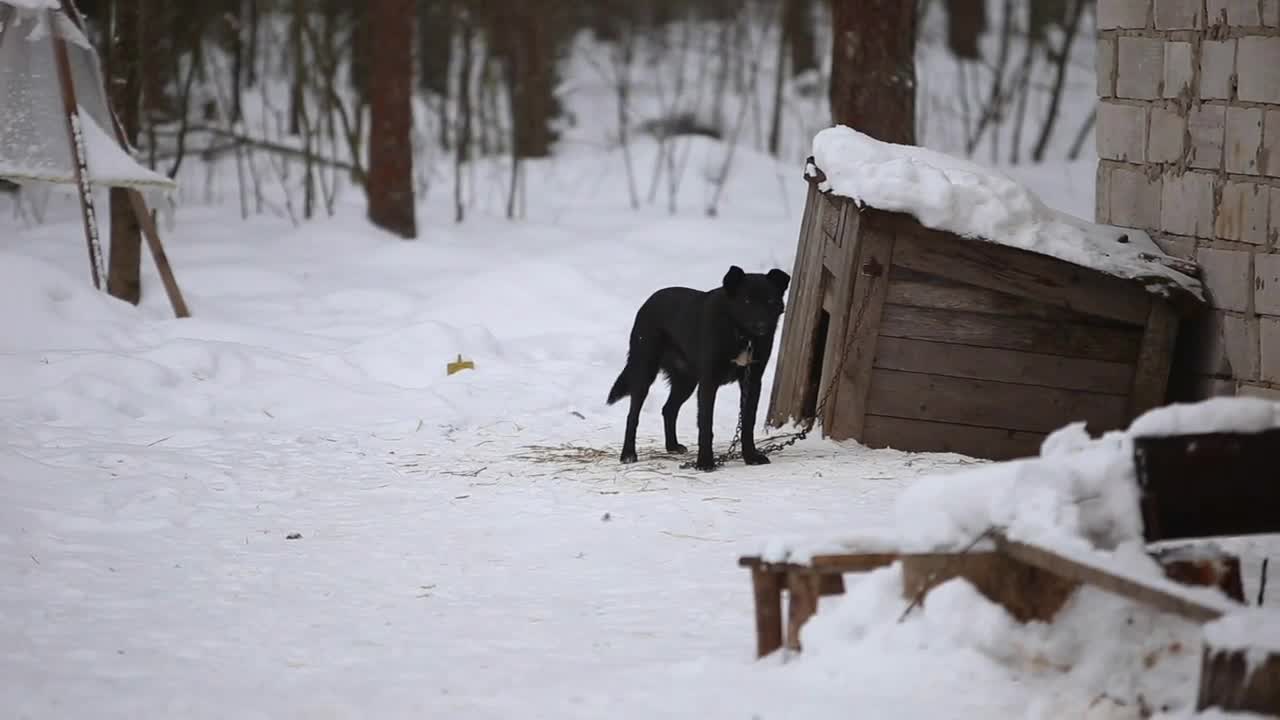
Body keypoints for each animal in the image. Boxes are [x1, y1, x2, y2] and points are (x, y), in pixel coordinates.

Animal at [601, 265, 788, 471]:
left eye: (770, 301)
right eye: (747, 301)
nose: (762, 326)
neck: (740, 334)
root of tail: (649, 301)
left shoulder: (752, 381)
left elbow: (747, 423)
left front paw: (751, 456)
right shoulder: (708, 382)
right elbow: (706, 425)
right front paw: (705, 462)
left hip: (686, 381)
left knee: (668, 409)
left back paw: (672, 446)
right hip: (645, 372)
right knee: (632, 415)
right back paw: (628, 454)